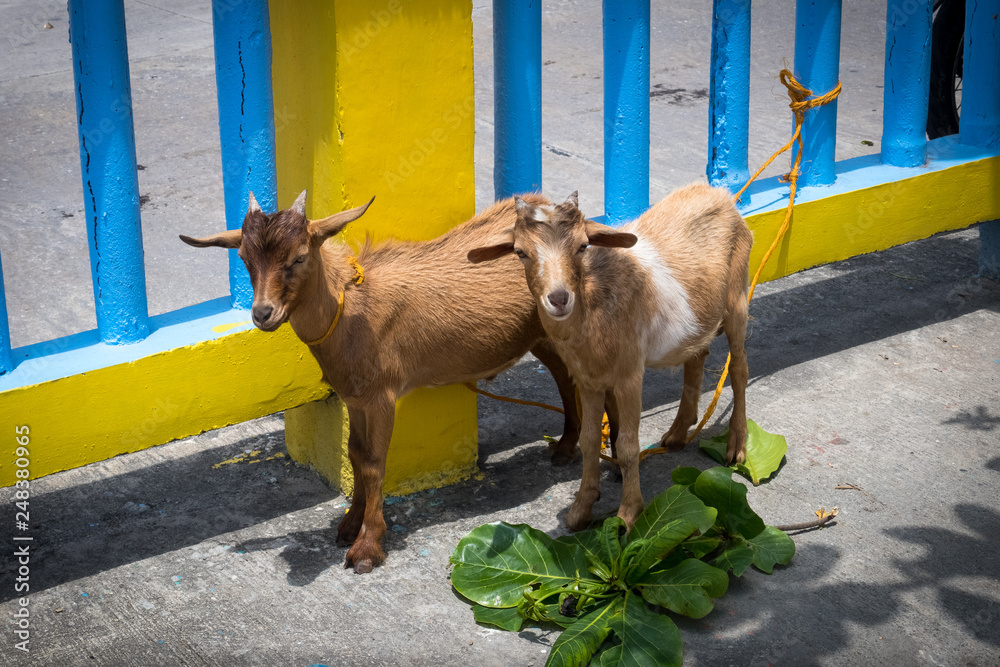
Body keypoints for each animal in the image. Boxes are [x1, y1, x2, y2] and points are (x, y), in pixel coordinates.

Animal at [180, 191, 591, 573]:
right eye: (245, 259)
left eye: (298, 257)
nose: (263, 314)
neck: (350, 309)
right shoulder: (354, 397)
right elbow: (355, 454)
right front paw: (350, 523)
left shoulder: (381, 396)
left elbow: (374, 462)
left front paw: (367, 546)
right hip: (541, 335)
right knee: (564, 378)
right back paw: (566, 446)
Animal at [468, 182, 752, 531]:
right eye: (520, 252)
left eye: (582, 246)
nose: (559, 299)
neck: (595, 302)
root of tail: (719, 193)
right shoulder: (588, 380)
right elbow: (590, 440)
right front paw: (581, 509)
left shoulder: (629, 375)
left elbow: (628, 446)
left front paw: (628, 515)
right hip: (699, 319)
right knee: (696, 356)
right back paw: (676, 434)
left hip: (737, 298)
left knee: (739, 368)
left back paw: (736, 448)